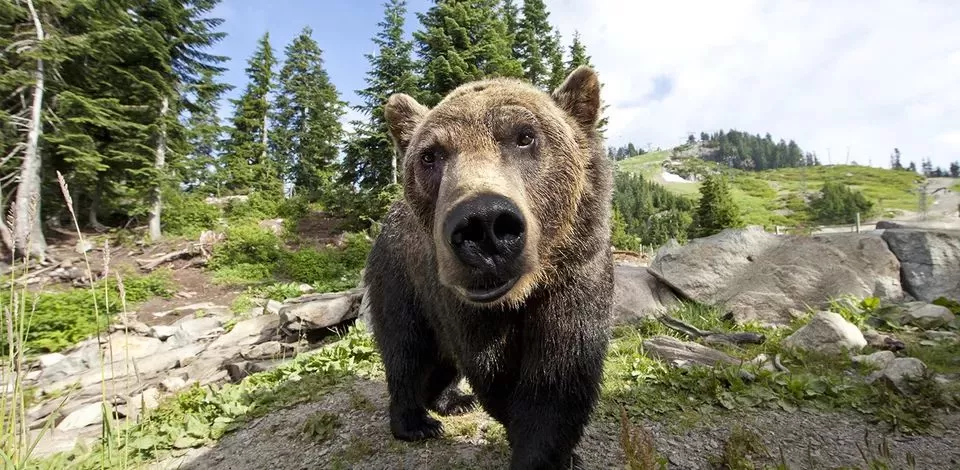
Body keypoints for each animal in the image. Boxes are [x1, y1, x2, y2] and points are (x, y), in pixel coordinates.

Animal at [363, 66, 614, 470]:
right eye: (430, 155)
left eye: (525, 136)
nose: (483, 225)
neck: (522, 294)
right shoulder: (460, 302)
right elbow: (493, 371)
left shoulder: (577, 276)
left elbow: (560, 372)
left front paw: (559, 453)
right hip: (399, 277)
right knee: (407, 348)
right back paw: (415, 421)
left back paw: (453, 400)